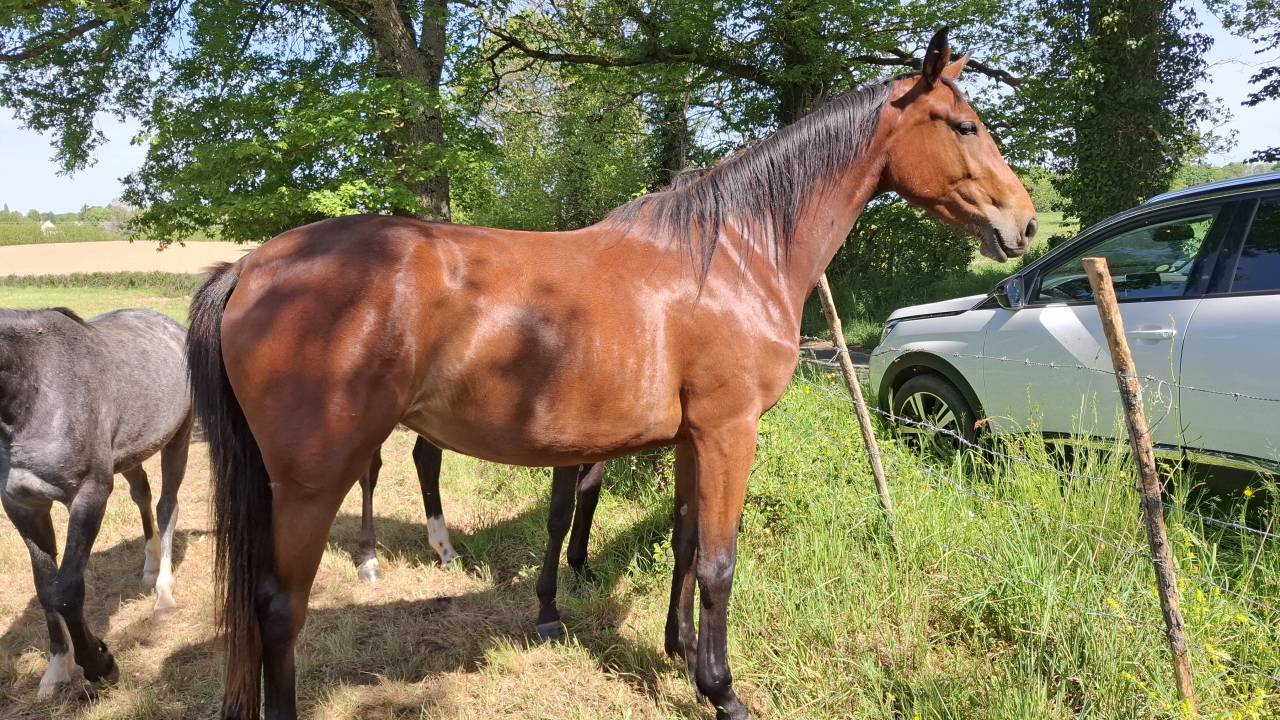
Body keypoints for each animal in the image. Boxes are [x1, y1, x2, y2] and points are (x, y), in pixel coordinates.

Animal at [0, 307, 192, 698]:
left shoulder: (89, 495)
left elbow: (67, 590)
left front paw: (99, 663)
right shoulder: (22, 506)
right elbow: (45, 587)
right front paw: (58, 666)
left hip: (178, 437)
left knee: (167, 506)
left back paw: (163, 595)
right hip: (131, 454)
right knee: (142, 495)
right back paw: (149, 568)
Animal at [188, 28, 1035, 720]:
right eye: (965, 125)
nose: (1023, 223)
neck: (732, 252)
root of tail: (251, 268)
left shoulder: (694, 438)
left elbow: (687, 545)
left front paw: (681, 653)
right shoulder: (730, 431)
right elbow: (721, 565)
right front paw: (724, 693)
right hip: (312, 478)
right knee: (279, 609)